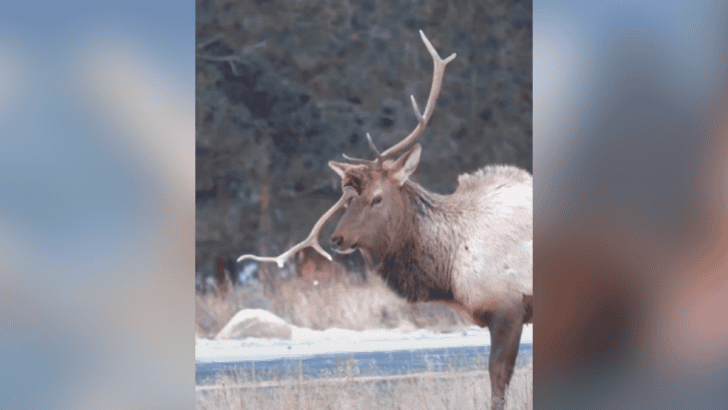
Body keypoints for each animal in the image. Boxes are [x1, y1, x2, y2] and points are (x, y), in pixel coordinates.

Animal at [238, 31, 532, 410]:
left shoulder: (508, 306)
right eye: (347, 199)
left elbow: (498, 382)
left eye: (377, 198)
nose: (336, 239)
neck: (449, 269)